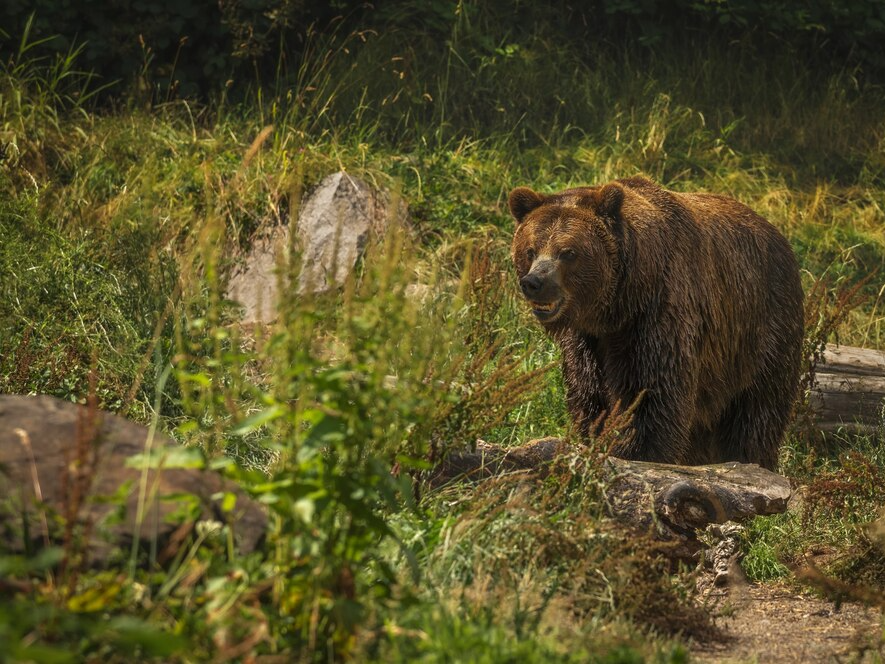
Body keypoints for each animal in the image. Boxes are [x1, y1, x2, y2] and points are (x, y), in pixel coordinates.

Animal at [508, 175, 804, 466]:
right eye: (530, 250)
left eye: (568, 252)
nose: (534, 282)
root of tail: (780, 237)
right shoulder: (587, 340)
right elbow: (589, 395)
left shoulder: (657, 318)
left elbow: (650, 396)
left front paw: (634, 452)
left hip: (760, 333)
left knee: (757, 413)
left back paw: (750, 459)